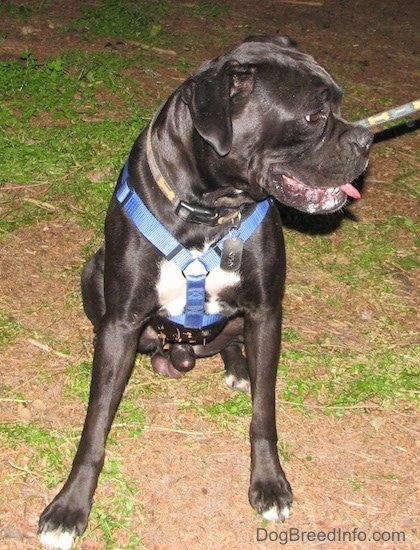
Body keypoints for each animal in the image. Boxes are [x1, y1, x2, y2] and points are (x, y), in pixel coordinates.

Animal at [38, 36, 370, 548]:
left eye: (339, 103)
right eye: (313, 116)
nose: (366, 139)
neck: (209, 211)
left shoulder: (266, 311)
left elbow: (264, 415)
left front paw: (269, 483)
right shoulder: (122, 322)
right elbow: (95, 425)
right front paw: (69, 506)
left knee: (232, 342)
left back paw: (239, 367)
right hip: (93, 271)